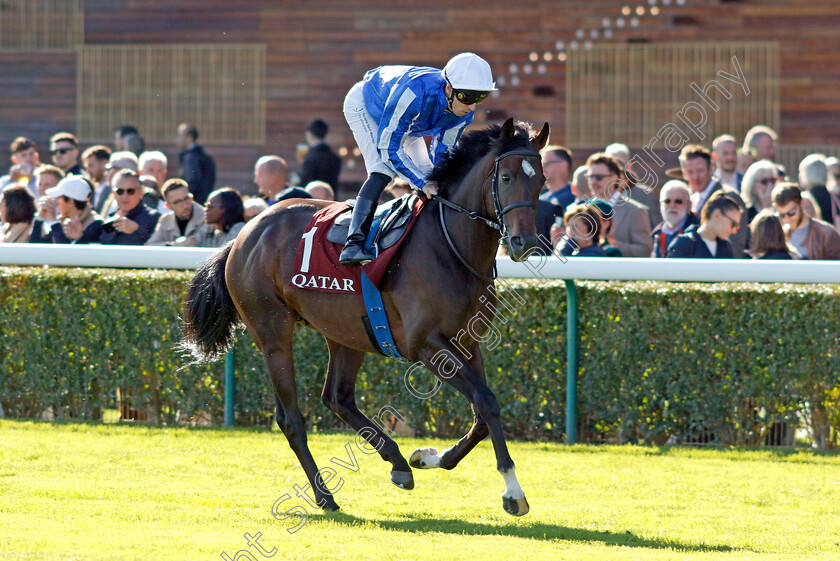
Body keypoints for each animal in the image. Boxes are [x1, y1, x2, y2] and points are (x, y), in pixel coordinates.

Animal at [182, 118, 552, 516]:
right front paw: (513, 491)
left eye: (542, 180)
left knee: (337, 397)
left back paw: (399, 464)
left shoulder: (467, 341)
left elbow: (482, 414)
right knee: (291, 418)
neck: (451, 246)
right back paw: (325, 496)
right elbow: (487, 403)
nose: (524, 243)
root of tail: (245, 233)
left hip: (346, 332)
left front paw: (428, 457)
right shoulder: (427, 346)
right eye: (507, 177)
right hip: (271, 331)